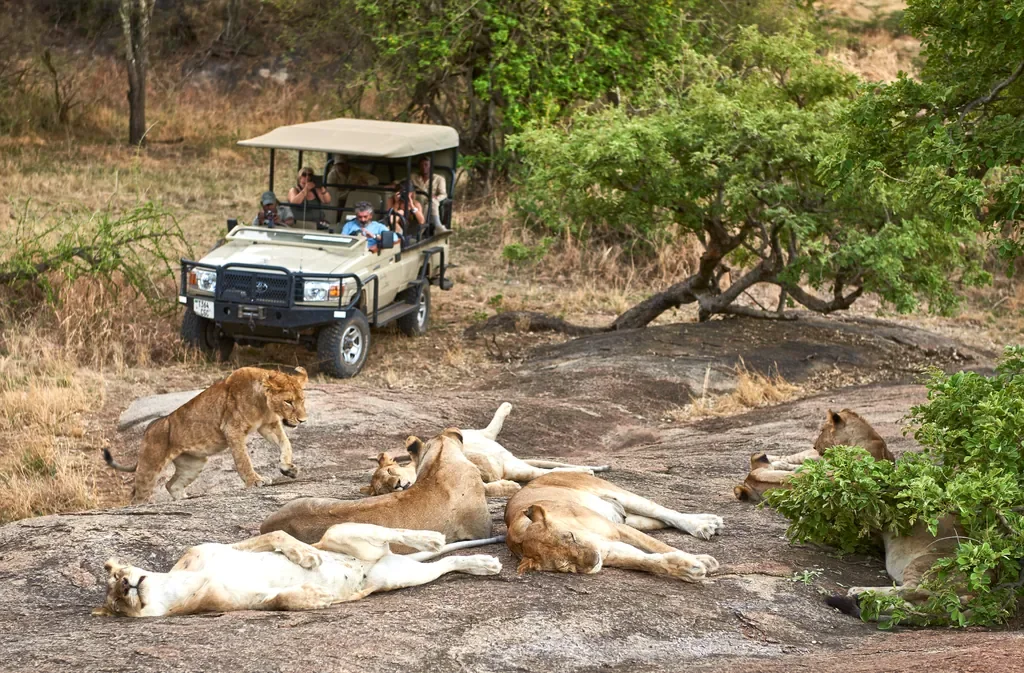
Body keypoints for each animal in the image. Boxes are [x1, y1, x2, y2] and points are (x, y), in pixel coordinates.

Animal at [104, 366, 308, 503]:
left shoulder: (269, 426)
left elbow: (286, 444)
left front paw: (288, 468)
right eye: (288, 401)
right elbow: (243, 459)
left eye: (302, 401)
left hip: (193, 464)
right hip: (150, 466)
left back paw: (183, 499)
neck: (263, 404)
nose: (303, 420)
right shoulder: (232, 429)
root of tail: (150, 428)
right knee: (138, 496)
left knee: (171, 485)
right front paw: (255, 480)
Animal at [361, 402, 610, 497]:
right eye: (384, 490)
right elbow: (489, 486)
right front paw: (507, 486)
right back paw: (586, 471)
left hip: (488, 442)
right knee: (544, 472)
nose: (396, 485)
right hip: (517, 467)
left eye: (390, 472)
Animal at [505, 472, 723, 582]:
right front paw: (688, 568)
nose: (594, 561)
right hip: (631, 520)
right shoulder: (610, 549)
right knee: (661, 520)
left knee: (663, 511)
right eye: (565, 566)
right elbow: (646, 561)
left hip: (617, 494)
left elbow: (659, 546)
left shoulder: (617, 530)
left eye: (571, 536)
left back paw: (704, 525)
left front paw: (701, 560)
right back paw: (711, 522)